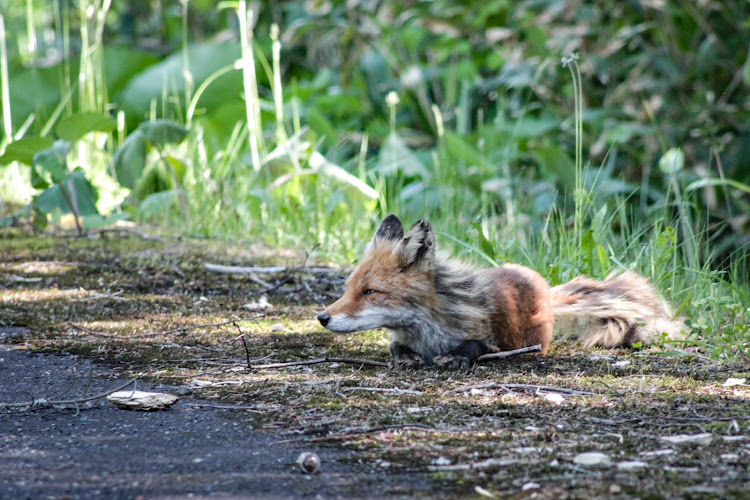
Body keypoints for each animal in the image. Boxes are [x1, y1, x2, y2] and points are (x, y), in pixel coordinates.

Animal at [318, 213, 688, 370]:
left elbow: (474, 346)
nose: (322, 318)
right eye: (349, 289)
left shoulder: (494, 341)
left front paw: (455, 357)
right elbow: (396, 347)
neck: (429, 330)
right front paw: (405, 356)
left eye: (370, 292)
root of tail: (545, 287)